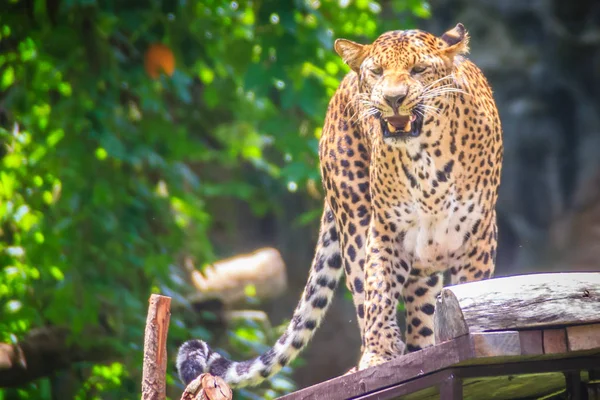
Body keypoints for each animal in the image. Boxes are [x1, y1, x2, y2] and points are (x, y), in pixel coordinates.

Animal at [177, 21, 502, 388]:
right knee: (374, 294)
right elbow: (378, 293)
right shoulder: (386, 231)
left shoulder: (478, 236)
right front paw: (379, 355)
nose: (393, 99)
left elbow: (469, 291)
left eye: (418, 70)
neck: (424, 159)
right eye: (377, 72)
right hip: (356, 220)